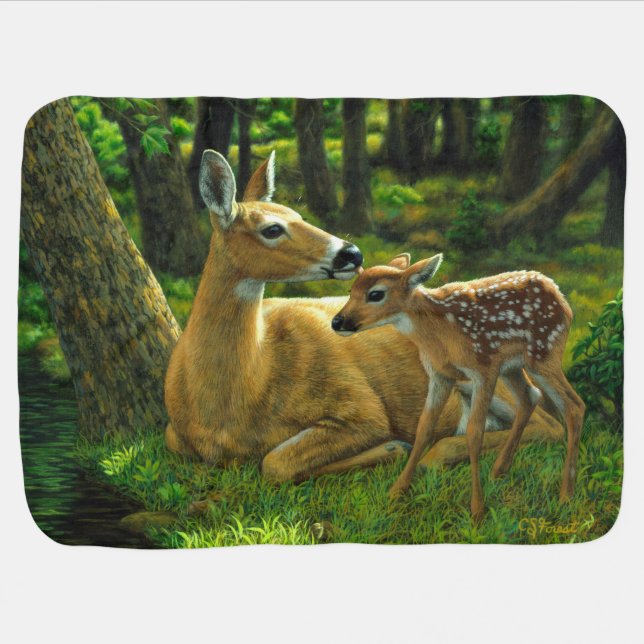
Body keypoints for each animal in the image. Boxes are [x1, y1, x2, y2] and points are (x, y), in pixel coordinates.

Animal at [165, 151, 564, 486]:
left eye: (299, 215)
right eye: (272, 228)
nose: (352, 253)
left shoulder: (361, 407)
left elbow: (275, 462)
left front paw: (392, 447)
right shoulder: (174, 435)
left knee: (547, 423)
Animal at [332, 253, 584, 521]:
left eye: (376, 294)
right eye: (351, 290)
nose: (337, 322)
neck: (440, 334)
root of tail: (558, 293)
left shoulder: (483, 369)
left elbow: (474, 433)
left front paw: (477, 510)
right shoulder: (440, 374)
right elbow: (424, 427)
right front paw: (396, 491)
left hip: (544, 353)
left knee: (574, 405)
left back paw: (566, 495)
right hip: (513, 366)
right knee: (530, 396)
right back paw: (499, 471)